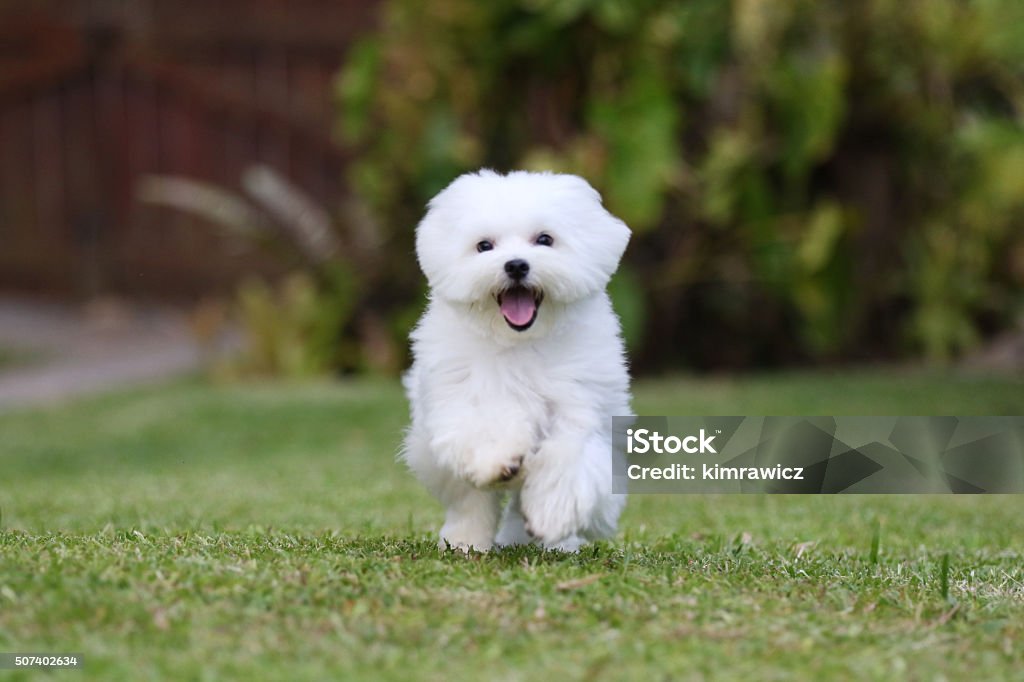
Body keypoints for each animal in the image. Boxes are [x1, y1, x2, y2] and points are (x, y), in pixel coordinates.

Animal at [401, 166, 630, 548]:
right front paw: (500, 458)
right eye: (484, 245)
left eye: (545, 239)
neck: (520, 342)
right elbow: (485, 425)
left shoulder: (580, 402)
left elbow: (569, 455)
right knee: (469, 500)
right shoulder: (463, 396)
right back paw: (465, 539)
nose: (516, 265)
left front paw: (553, 514)